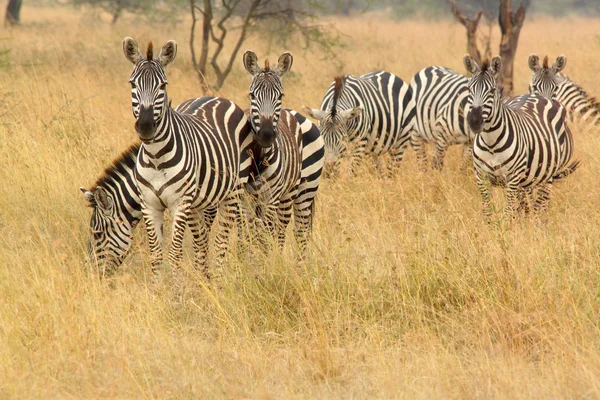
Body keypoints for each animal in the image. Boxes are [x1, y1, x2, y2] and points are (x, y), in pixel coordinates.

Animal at [122, 38, 253, 282]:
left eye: (163, 86)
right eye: (132, 84)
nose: (145, 126)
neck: (156, 157)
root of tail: (215, 96)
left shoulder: (180, 204)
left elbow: (174, 253)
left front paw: (175, 290)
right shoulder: (149, 204)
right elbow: (156, 255)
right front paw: (157, 289)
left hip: (233, 193)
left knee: (221, 242)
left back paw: (219, 282)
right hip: (203, 201)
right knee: (202, 242)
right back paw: (204, 279)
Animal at [241, 50, 324, 253]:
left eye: (280, 95)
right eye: (252, 95)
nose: (266, 134)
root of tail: (292, 112)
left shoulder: (271, 197)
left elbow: (264, 237)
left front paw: (265, 261)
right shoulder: (246, 198)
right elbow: (248, 235)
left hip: (301, 192)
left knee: (294, 232)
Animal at [464, 53, 576, 220]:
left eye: (492, 91)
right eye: (469, 89)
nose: (474, 121)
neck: (491, 143)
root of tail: (542, 98)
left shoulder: (513, 178)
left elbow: (507, 213)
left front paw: (508, 227)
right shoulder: (481, 177)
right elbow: (488, 211)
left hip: (547, 173)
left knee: (541, 203)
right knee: (528, 203)